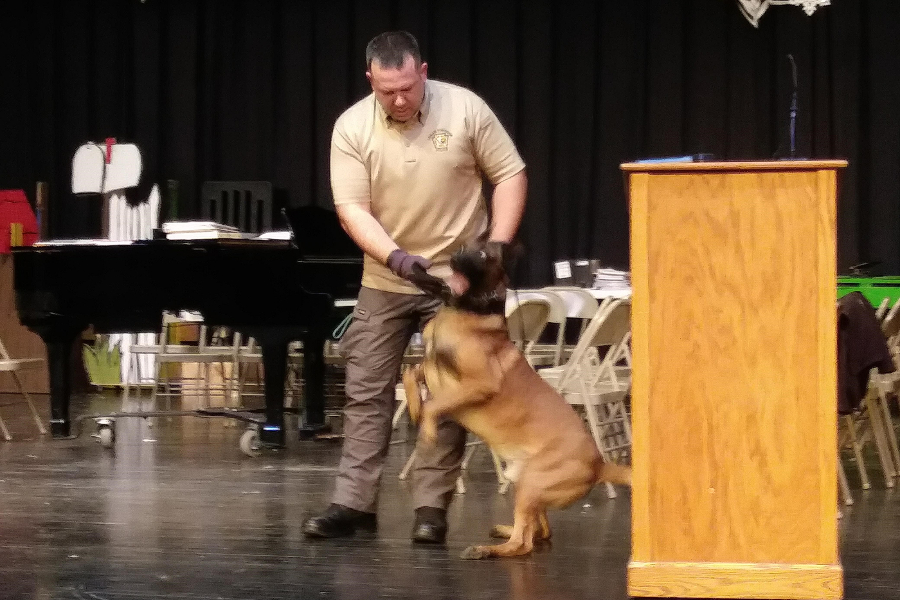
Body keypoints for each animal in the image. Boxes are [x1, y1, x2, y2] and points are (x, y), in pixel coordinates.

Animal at [404, 238, 628, 556]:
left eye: (482, 253)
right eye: (467, 246)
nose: (456, 254)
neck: (466, 309)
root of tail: (600, 465)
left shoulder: (480, 384)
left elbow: (434, 405)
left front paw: (428, 430)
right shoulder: (431, 368)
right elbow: (410, 373)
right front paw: (414, 408)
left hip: (532, 484)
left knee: (524, 543)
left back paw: (487, 550)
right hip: (525, 486)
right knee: (540, 532)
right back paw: (502, 531)